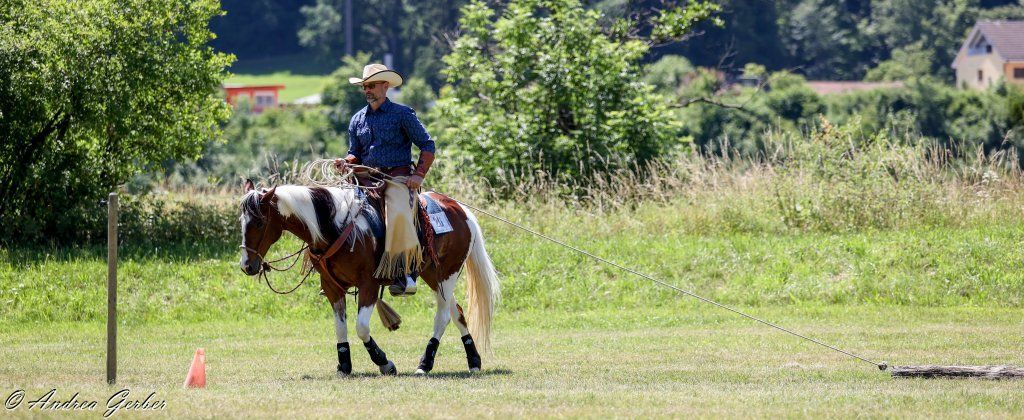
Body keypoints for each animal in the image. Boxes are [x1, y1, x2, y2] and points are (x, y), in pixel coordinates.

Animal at [238, 179, 500, 376]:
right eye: (241, 221)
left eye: (259, 222)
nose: (247, 265)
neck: (336, 228)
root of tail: (461, 211)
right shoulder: (332, 287)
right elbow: (340, 327)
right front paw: (344, 365)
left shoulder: (368, 285)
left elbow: (361, 328)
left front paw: (385, 363)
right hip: (432, 275)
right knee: (457, 312)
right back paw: (473, 360)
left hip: (448, 273)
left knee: (443, 316)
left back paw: (425, 363)